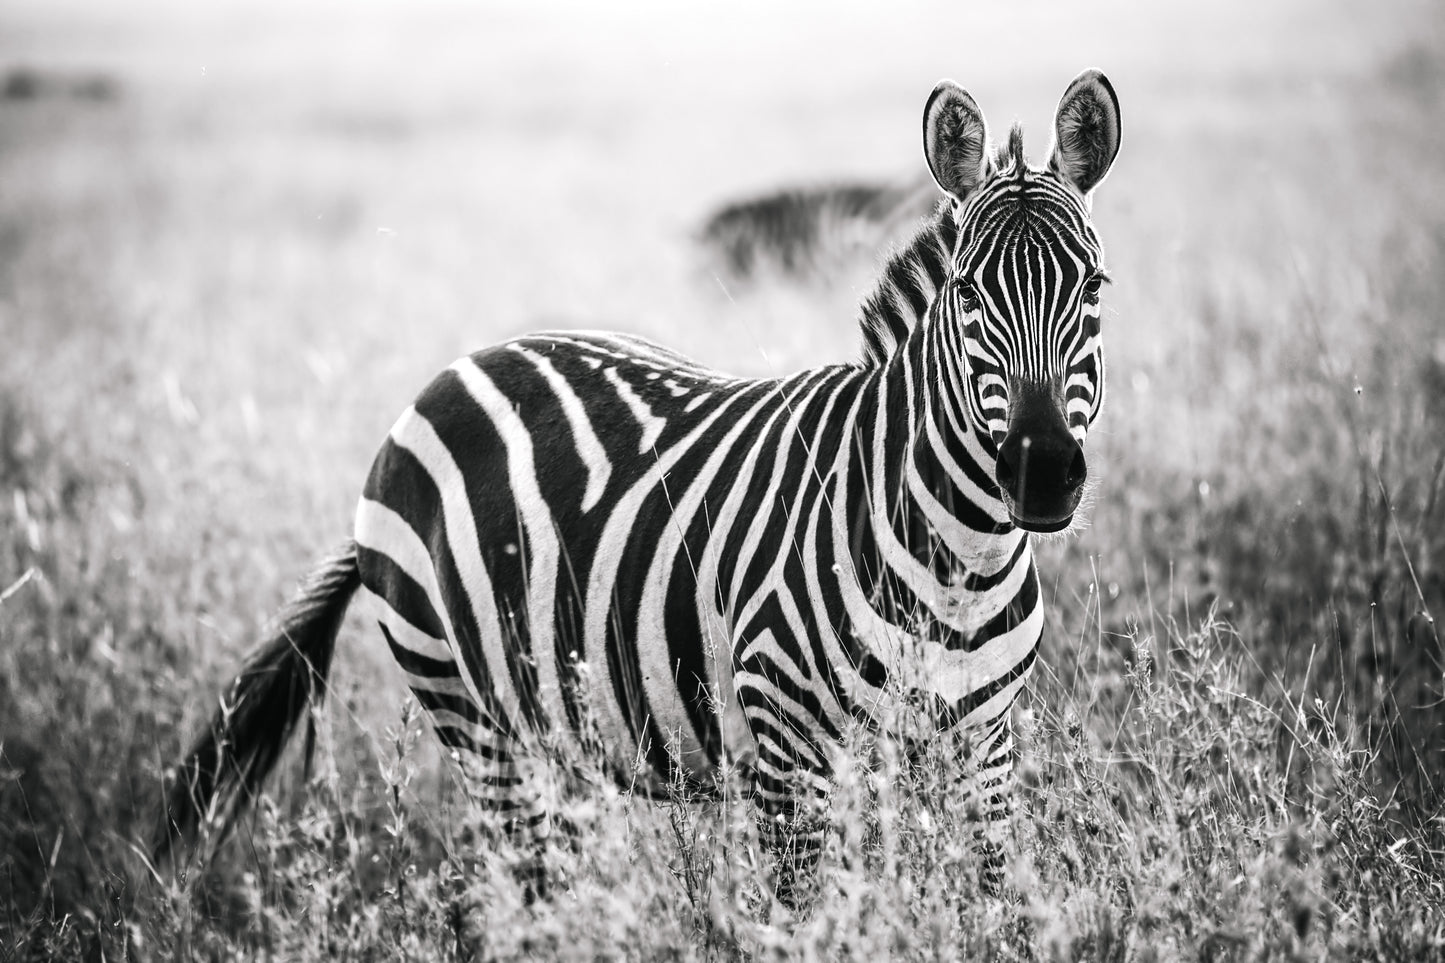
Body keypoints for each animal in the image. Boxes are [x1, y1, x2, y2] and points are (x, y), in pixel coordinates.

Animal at [158, 69, 1121, 908]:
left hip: (559, 730)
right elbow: (807, 916)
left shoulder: (982, 748)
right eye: (966, 291)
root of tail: (447, 376)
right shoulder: (790, 753)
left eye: (1094, 283)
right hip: (476, 719)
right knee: (520, 896)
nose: (1039, 472)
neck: (960, 557)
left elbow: (992, 903)